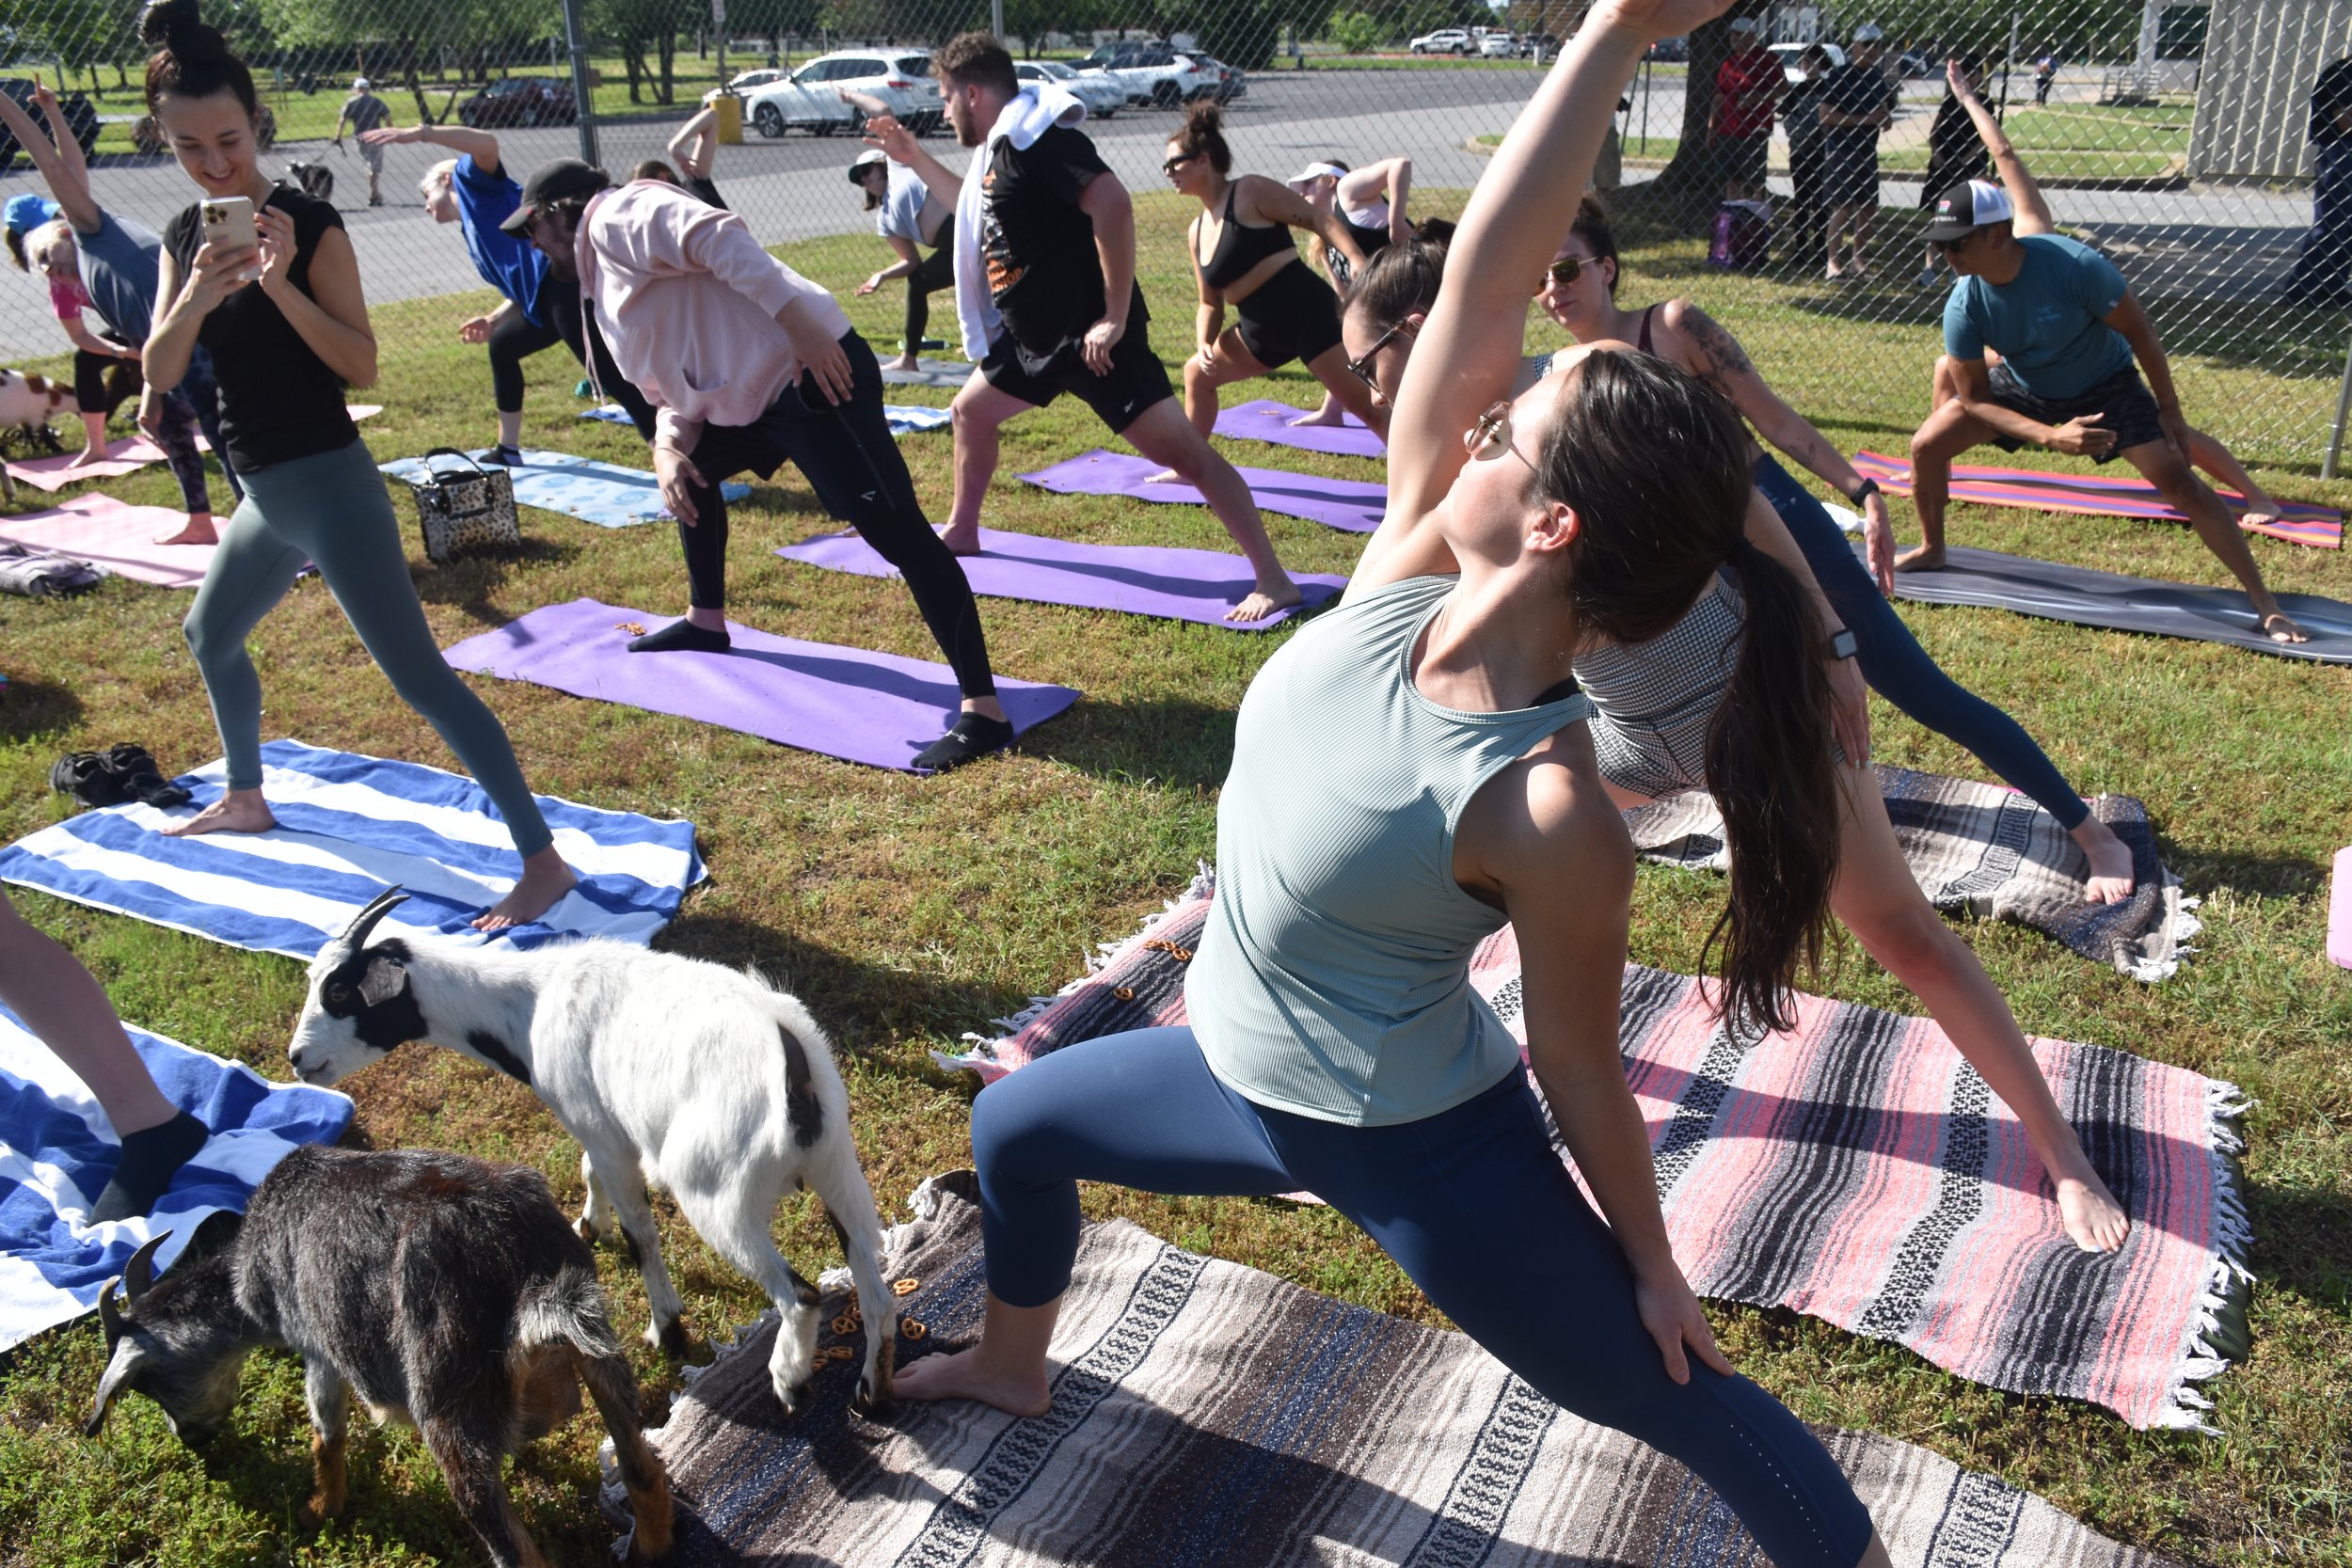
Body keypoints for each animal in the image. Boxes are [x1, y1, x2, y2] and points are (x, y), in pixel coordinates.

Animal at [84, 1142, 673, 1568]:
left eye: (148, 1385)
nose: (190, 1439)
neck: (247, 1274)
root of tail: (527, 1281)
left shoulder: (318, 1347)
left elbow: (326, 1434)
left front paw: (319, 1511)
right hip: (601, 1355)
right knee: (642, 1471)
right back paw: (648, 1549)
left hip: (447, 1401)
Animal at [278, 888, 898, 1419]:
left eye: (339, 991)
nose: (298, 1058)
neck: (530, 1002)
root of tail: (790, 1064)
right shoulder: (600, 1125)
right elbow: (588, 1170)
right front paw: (588, 1222)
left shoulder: (601, 1128)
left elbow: (639, 1231)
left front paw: (667, 1330)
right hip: (835, 1165)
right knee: (876, 1291)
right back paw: (871, 1389)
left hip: (717, 1194)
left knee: (800, 1295)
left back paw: (789, 1381)